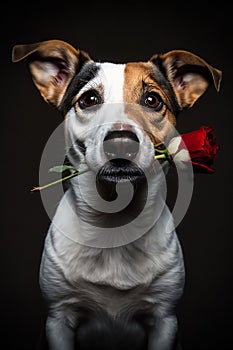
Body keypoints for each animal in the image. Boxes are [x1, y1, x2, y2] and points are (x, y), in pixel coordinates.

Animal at [12, 39, 222, 348]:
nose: (121, 144)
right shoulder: (59, 317)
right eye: (89, 99)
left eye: (152, 100)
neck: (115, 222)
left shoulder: (164, 319)